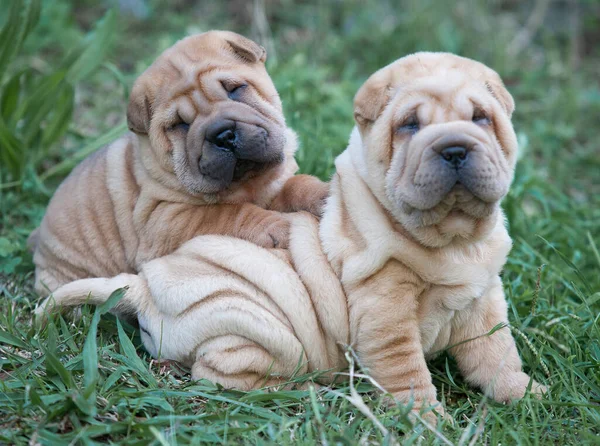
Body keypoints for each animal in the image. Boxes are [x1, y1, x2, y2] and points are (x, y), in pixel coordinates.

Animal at [29, 28, 328, 300]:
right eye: (179, 124)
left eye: (235, 89)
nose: (224, 135)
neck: (249, 184)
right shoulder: (164, 220)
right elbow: (226, 213)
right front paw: (277, 227)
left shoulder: (273, 183)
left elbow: (297, 185)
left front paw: (324, 195)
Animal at [37, 52, 548, 422]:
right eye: (410, 126)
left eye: (481, 118)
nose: (455, 147)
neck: (455, 238)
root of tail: (142, 285)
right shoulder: (386, 317)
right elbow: (406, 374)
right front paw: (427, 422)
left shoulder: (483, 301)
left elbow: (497, 355)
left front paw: (525, 394)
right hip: (250, 334)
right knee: (220, 379)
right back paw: (310, 393)